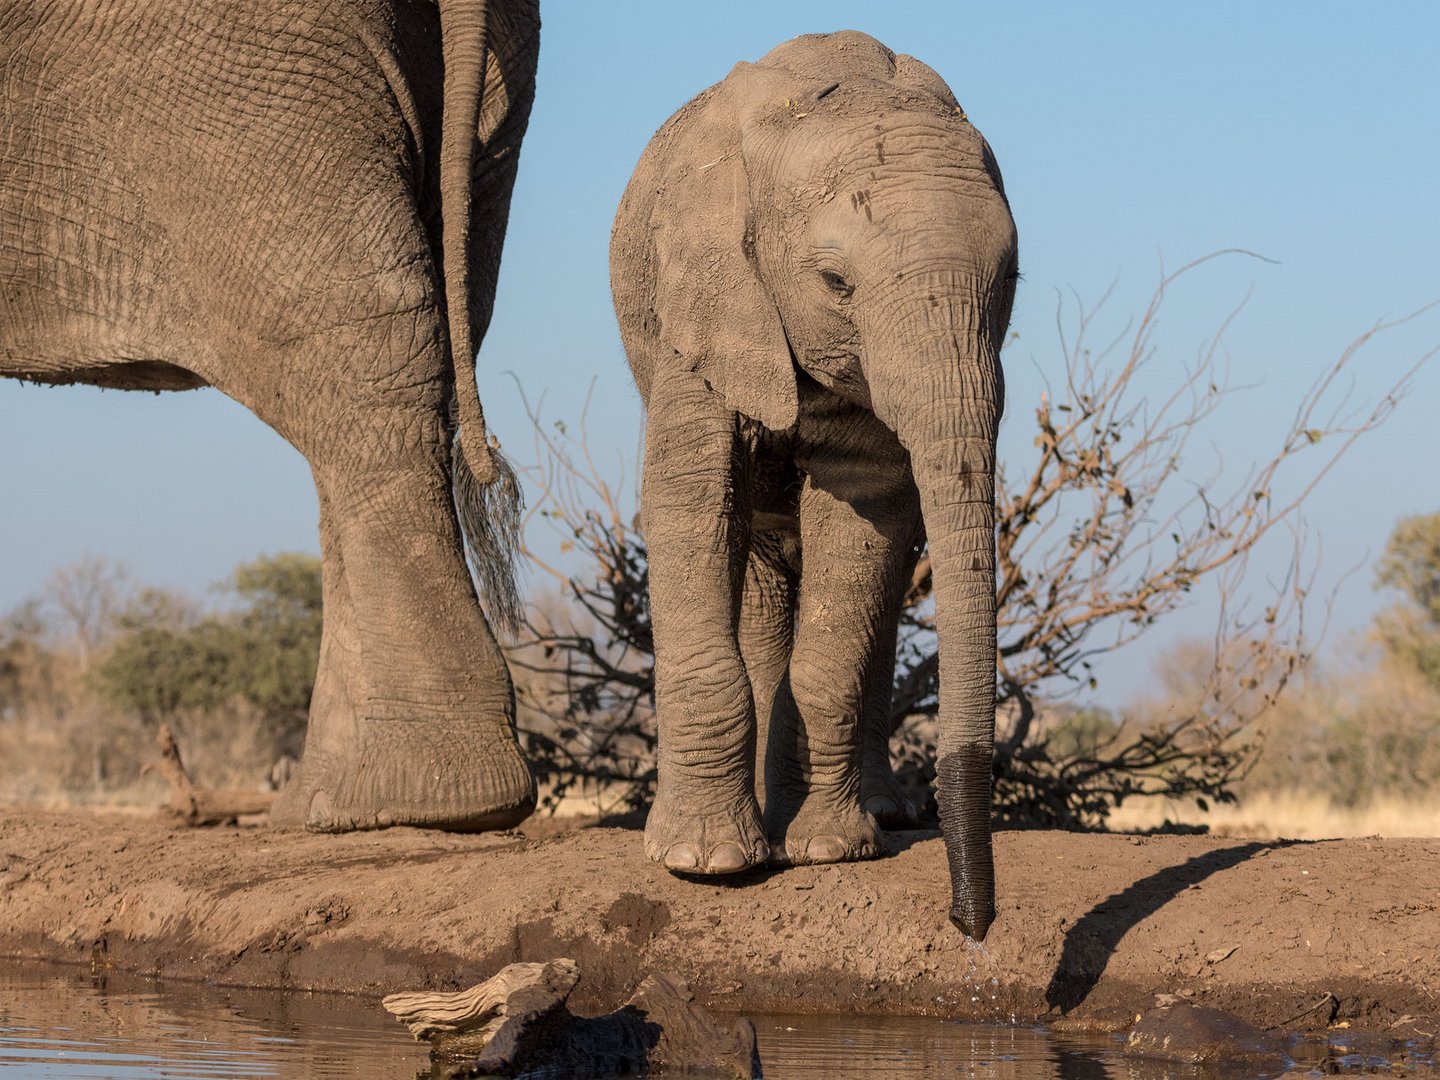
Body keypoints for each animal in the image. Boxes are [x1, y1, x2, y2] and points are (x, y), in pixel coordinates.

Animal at [613, 25, 1019, 938]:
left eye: (1009, 282)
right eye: (836, 284)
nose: (970, 922)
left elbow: (862, 511)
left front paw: (829, 851)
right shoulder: (705, 301)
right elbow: (690, 496)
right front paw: (705, 863)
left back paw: (875, 815)